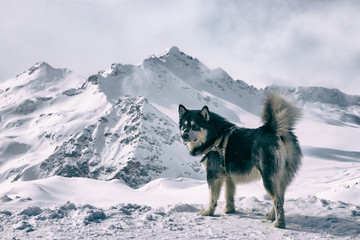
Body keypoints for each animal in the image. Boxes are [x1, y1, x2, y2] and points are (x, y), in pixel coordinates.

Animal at [179, 93, 302, 228]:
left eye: (195, 126)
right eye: (184, 126)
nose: (184, 135)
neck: (214, 137)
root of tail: (273, 130)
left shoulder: (212, 175)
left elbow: (212, 198)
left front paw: (208, 212)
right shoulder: (228, 176)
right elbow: (228, 195)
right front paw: (229, 210)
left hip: (268, 177)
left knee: (277, 200)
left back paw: (279, 222)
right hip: (281, 177)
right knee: (281, 197)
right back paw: (271, 216)